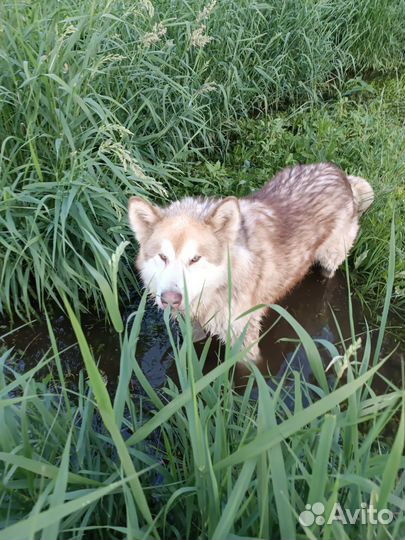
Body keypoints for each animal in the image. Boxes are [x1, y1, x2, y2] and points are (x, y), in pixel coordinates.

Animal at [126, 162, 372, 360]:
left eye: (195, 258)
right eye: (162, 257)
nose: (170, 299)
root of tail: (340, 174)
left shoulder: (243, 339)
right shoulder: (191, 325)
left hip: (330, 259)